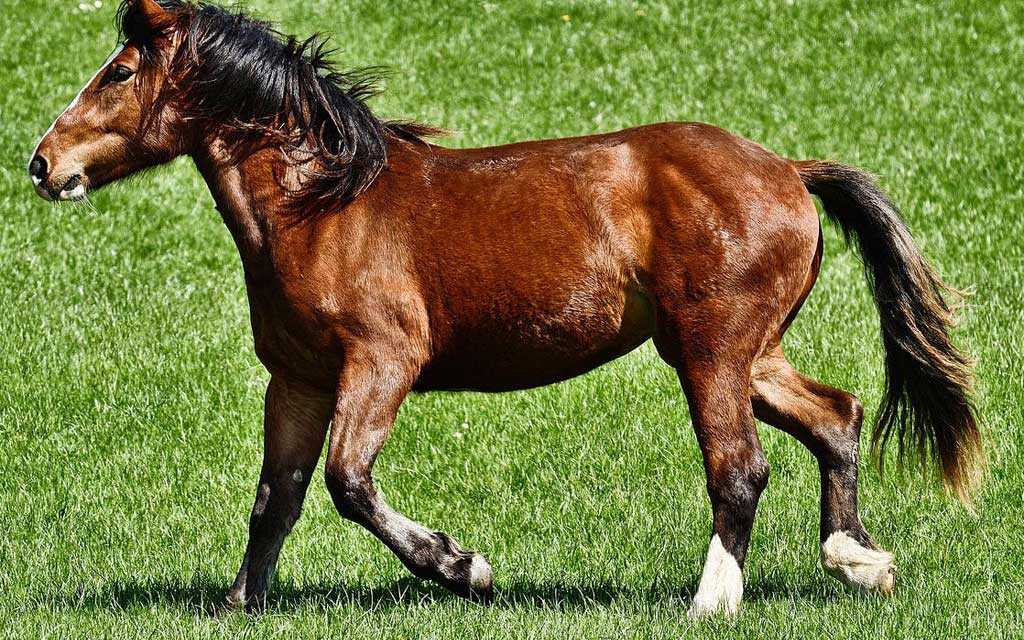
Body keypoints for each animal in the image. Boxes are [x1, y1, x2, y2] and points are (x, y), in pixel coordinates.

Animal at [28, 0, 982, 617]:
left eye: (118, 72)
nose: (42, 163)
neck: (323, 208)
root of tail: (788, 169)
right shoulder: (296, 379)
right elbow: (278, 496)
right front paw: (239, 603)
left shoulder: (382, 363)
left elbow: (347, 482)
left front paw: (466, 568)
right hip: (747, 353)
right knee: (837, 416)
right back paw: (858, 561)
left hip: (712, 349)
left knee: (741, 468)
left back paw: (712, 602)